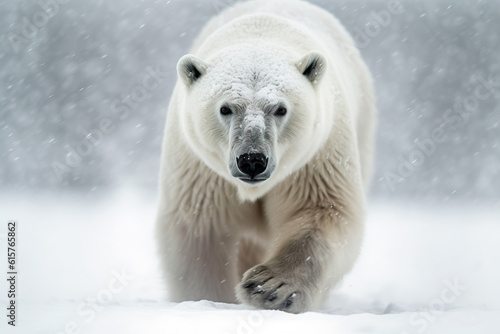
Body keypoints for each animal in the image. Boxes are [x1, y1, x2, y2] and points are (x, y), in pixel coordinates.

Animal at [156, 0, 376, 314]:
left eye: (280, 109)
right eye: (225, 108)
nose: (252, 160)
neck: (259, 32)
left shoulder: (316, 158)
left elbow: (323, 212)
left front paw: (270, 288)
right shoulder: (201, 170)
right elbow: (200, 231)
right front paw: (209, 299)